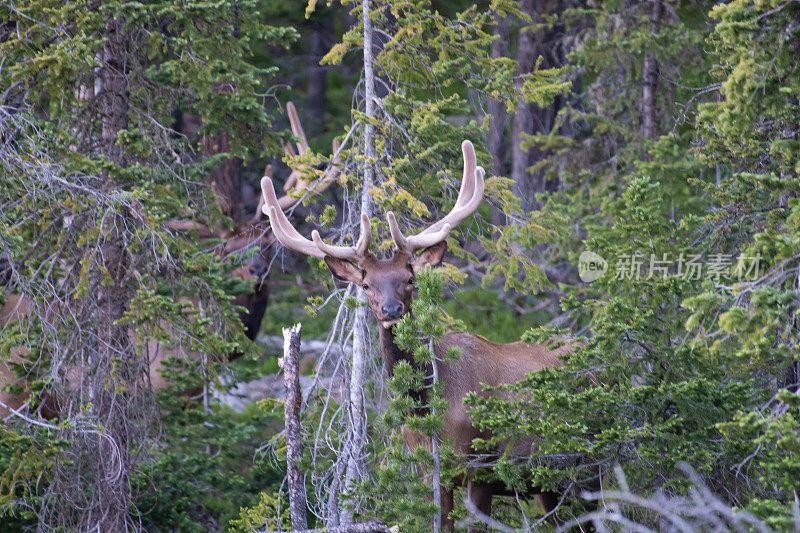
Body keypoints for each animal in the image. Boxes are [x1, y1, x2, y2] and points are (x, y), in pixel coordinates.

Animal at [262, 139, 580, 528]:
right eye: (366, 284)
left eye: (410, 278)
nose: (391, 310)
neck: (427, 408)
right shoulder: (430, 471)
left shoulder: (482, 464)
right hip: (551, 479)